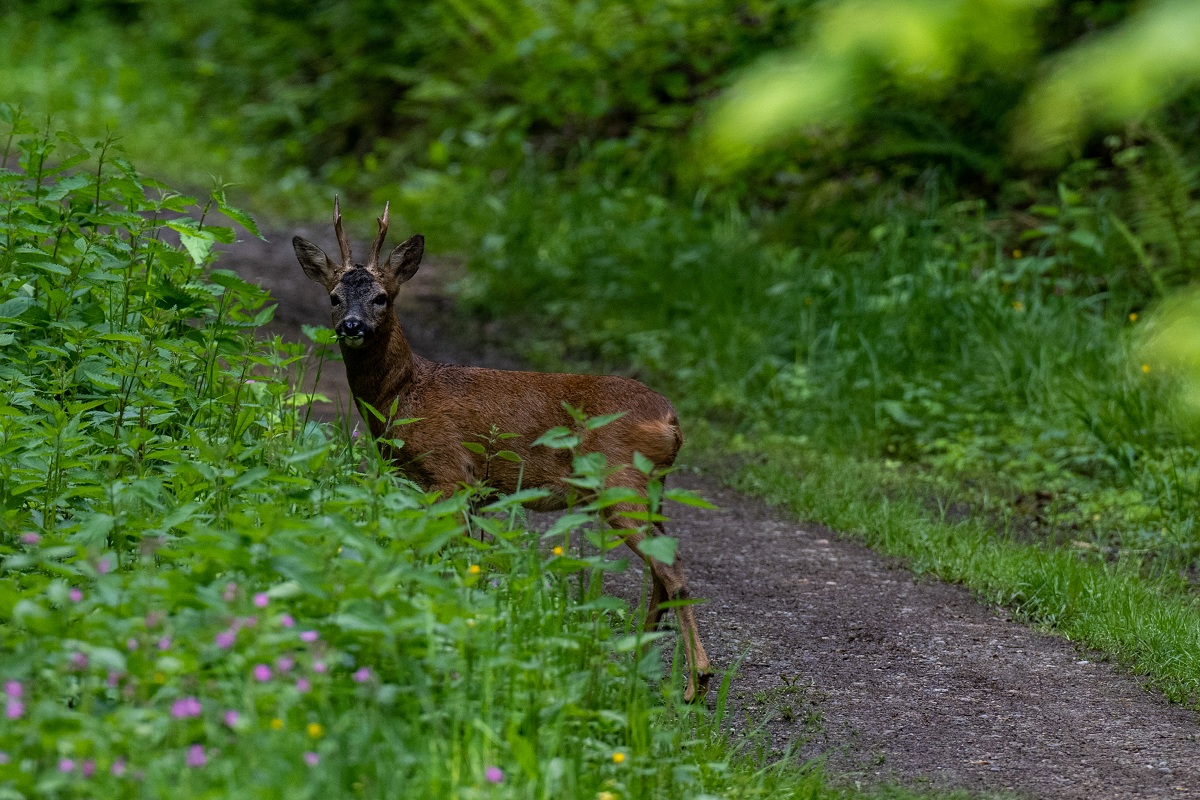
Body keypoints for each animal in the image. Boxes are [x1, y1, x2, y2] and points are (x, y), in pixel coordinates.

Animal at [292, 199, 712, 701]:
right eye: (334, 297)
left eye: (382, 297)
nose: (352, 326)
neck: (406, 392)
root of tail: (671, 420)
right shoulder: (473, 490)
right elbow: (465, 558)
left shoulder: (450, 472)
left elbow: (444, 553)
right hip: (650, 488)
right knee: (661, 567)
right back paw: (636, 667)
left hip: (620, 481)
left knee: (671, 569)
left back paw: (697, 681)